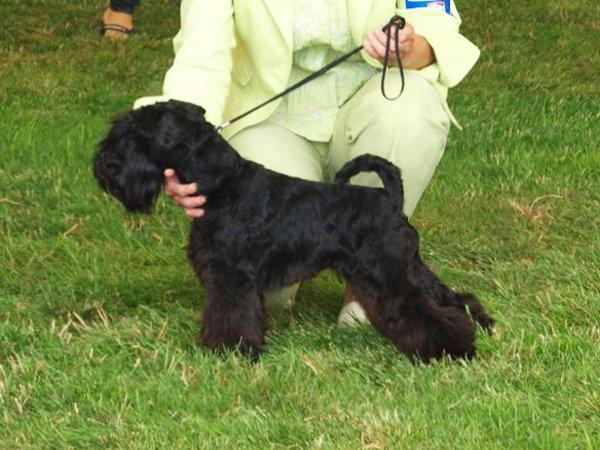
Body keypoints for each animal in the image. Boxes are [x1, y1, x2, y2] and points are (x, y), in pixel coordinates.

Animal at [93, 100, 494, 362]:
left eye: (132, 134)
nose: (103, 164)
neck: (222, 184)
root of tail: (390, 197)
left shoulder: (232, 276)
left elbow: (231, 314)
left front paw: (229, 351)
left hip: (389, 272)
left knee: (423, 309)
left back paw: (451, 349)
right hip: (405, 267)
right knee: (452, 297)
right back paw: (482, 327)